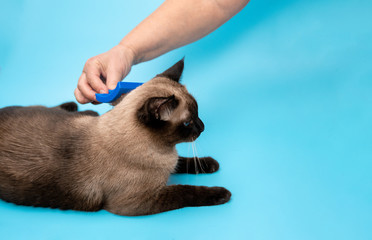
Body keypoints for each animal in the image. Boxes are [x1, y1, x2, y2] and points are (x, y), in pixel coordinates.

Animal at [0, 59, 231, 216]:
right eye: (188, 122)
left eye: (198, 114)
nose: (203, 126)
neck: (164, 151)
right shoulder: (138, 202)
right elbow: (185, 191)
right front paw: (221, 193)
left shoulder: (171, 163)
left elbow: (183, 162)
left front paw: (210, 164)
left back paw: (80, 109)